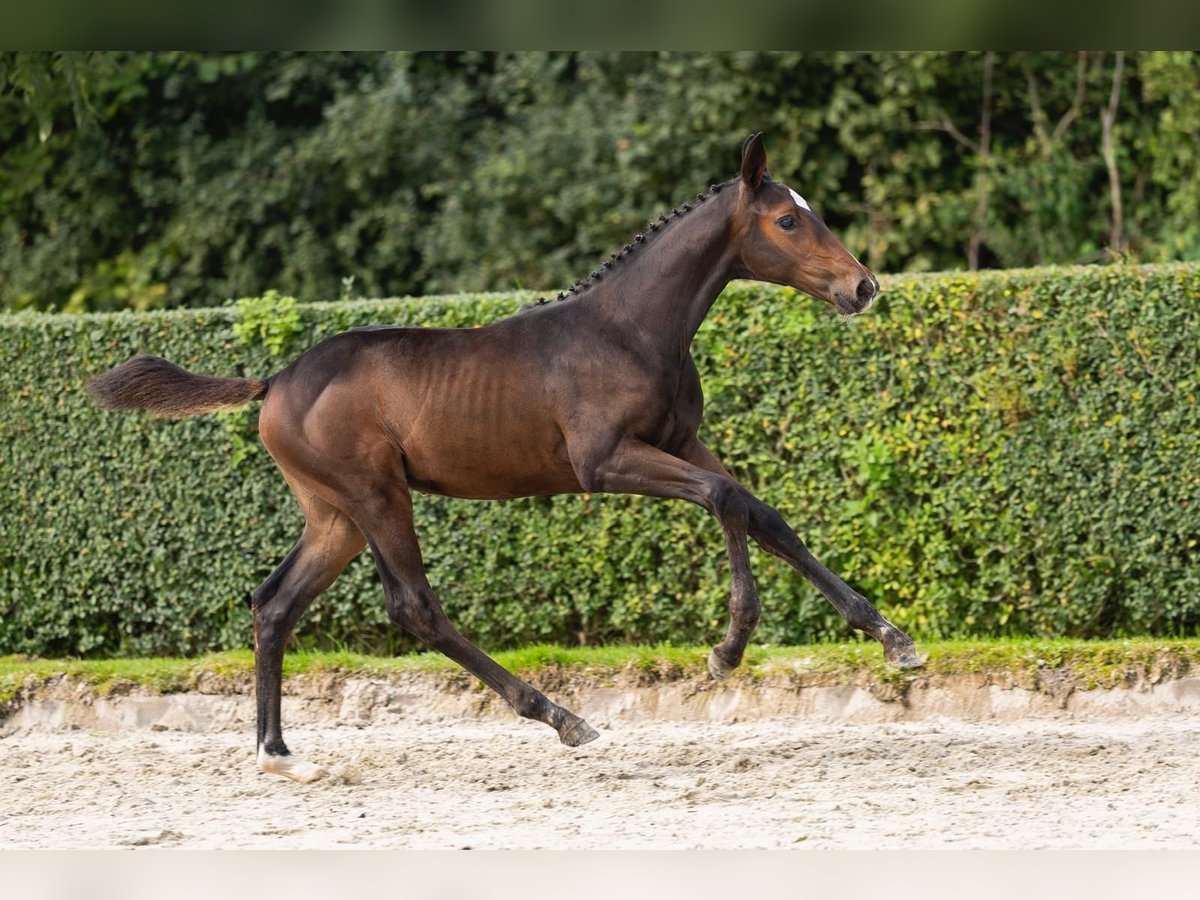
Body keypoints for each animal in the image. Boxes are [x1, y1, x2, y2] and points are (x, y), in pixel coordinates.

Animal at [88, 133, 922, 783]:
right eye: (787, 219)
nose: (864, 286)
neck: (629, 328)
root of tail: (274, 383)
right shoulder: (605, 463)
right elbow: (724, 500)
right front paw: (727, 649)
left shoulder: (680, 442)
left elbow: (762, 512)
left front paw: (894, 641)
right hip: (376, 496)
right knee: (413, 607)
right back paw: (560, 715)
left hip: (335, 516)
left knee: (275, 604)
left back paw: (278, 753)